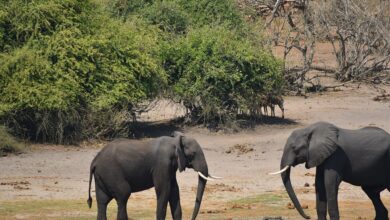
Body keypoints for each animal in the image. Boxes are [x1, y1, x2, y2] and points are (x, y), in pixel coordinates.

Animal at [87, 131, 221, 219]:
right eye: (192, 154)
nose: (192, 218)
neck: (174, 141)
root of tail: (94, 161)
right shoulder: (162, 164)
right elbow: (164, 190)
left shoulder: (170, 167)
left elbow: (174, 191)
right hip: (111, 173)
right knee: (123, 195)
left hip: (102, 176)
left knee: (102, 201)